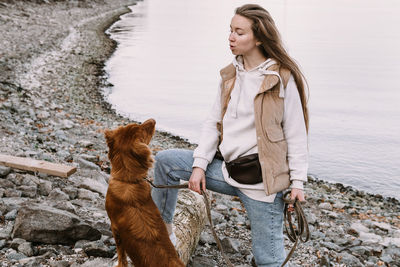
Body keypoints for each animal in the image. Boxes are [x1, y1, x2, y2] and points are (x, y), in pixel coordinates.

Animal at [103, 120, 184, 267]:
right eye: (141, 128)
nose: (153, 120)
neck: (128, 181)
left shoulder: (115, 227)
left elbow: (121, 253)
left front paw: (120, 263)